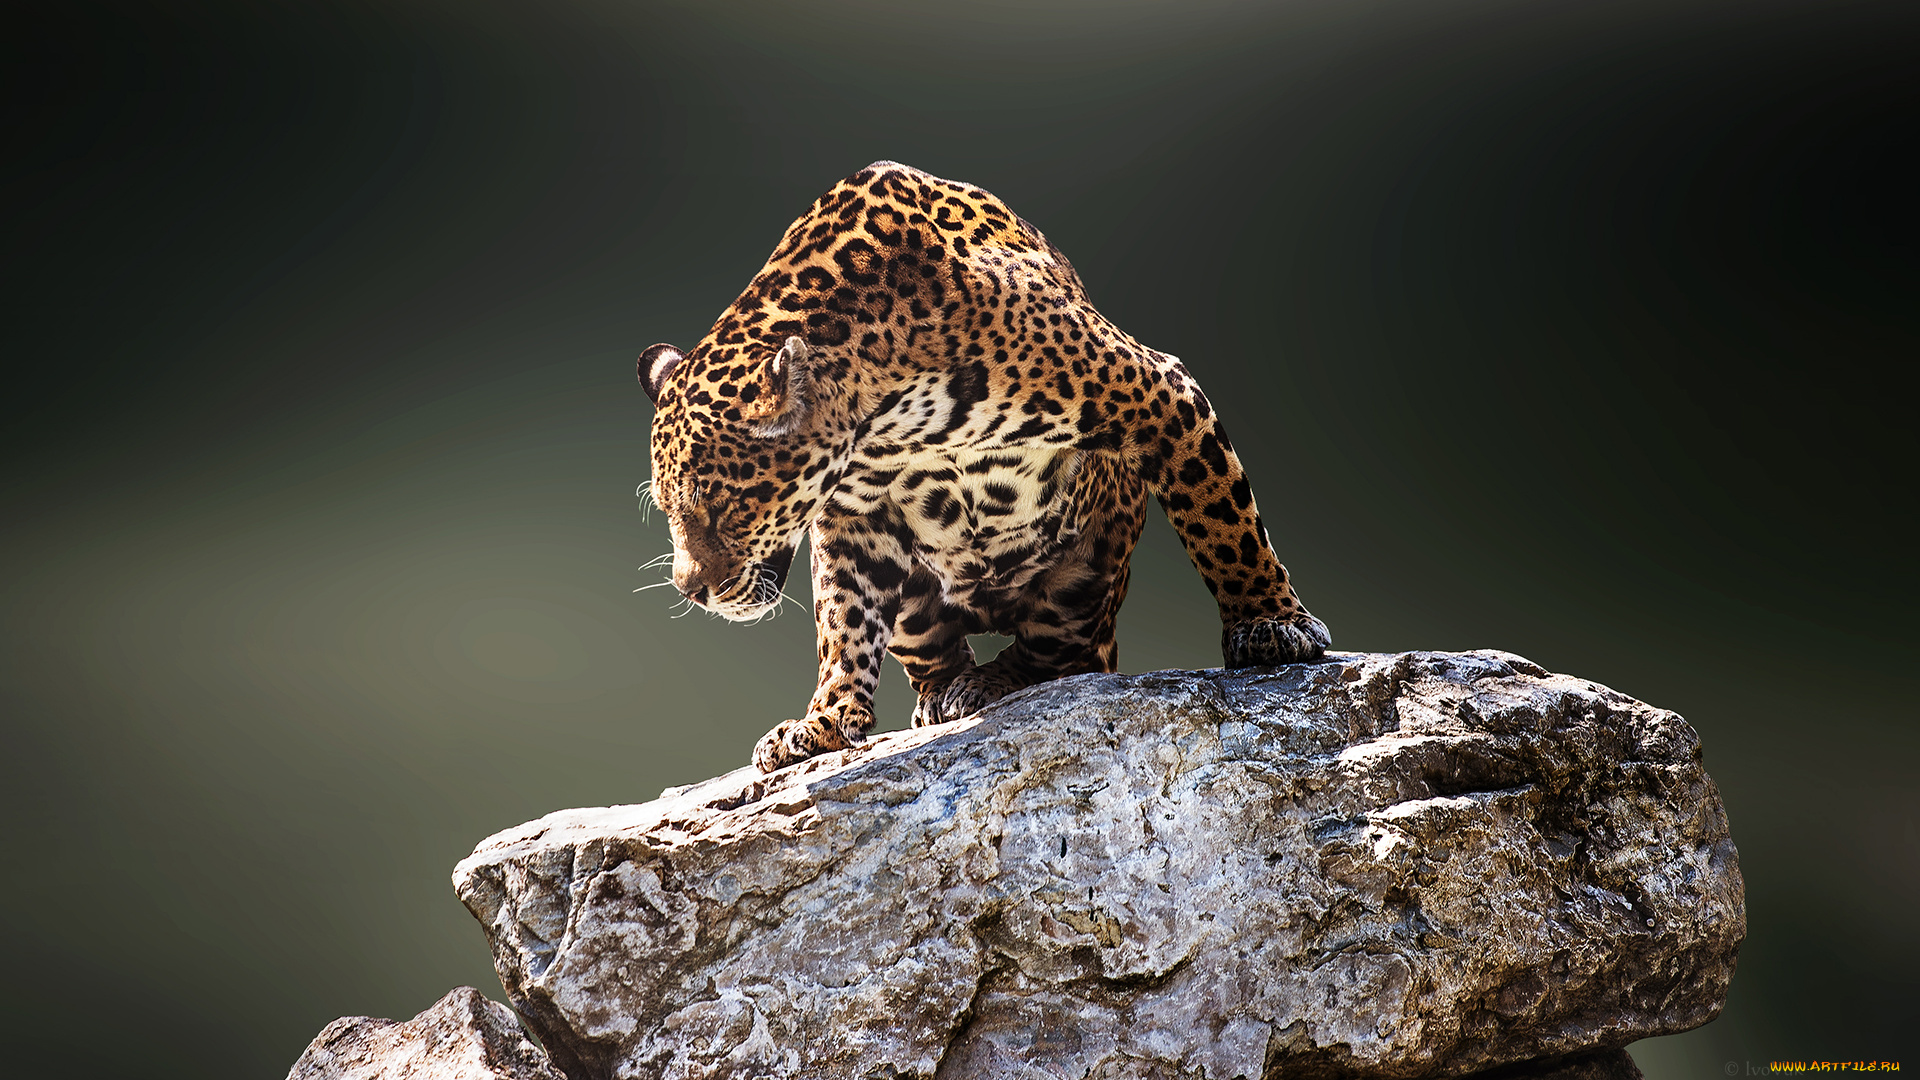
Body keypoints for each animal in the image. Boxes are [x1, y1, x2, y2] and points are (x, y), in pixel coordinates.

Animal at [637, 162, 1330, 773]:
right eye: (670, 512)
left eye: (723, 508)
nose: (690, 589)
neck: (885, 414)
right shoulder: (850, 522)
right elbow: (843, 625)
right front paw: (823, 722)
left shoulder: (1159, 393)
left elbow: (1223, 521)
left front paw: (1270, 625)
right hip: (919, 604)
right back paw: (945, 694)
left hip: (1090, 575)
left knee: (1059, 653)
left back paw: (989, 684)